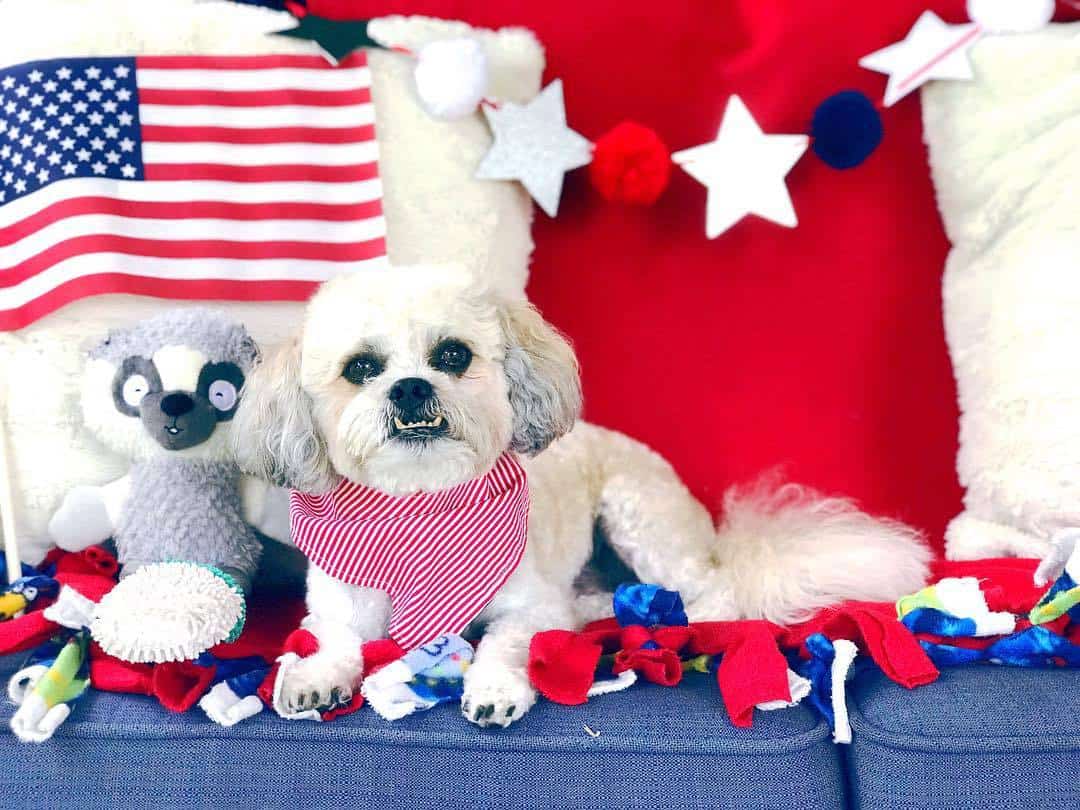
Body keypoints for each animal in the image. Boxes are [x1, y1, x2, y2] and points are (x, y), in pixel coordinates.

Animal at [234, 266, 928, 730]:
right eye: (361, 368)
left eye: (452, 355)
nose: (409, 387)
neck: (418, 507)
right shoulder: (339, 604)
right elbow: (336, 639)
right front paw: (316, 678)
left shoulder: (530, 605)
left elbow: (506, 640)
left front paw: (494, 688)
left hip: (636, 515)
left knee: (714, 594)